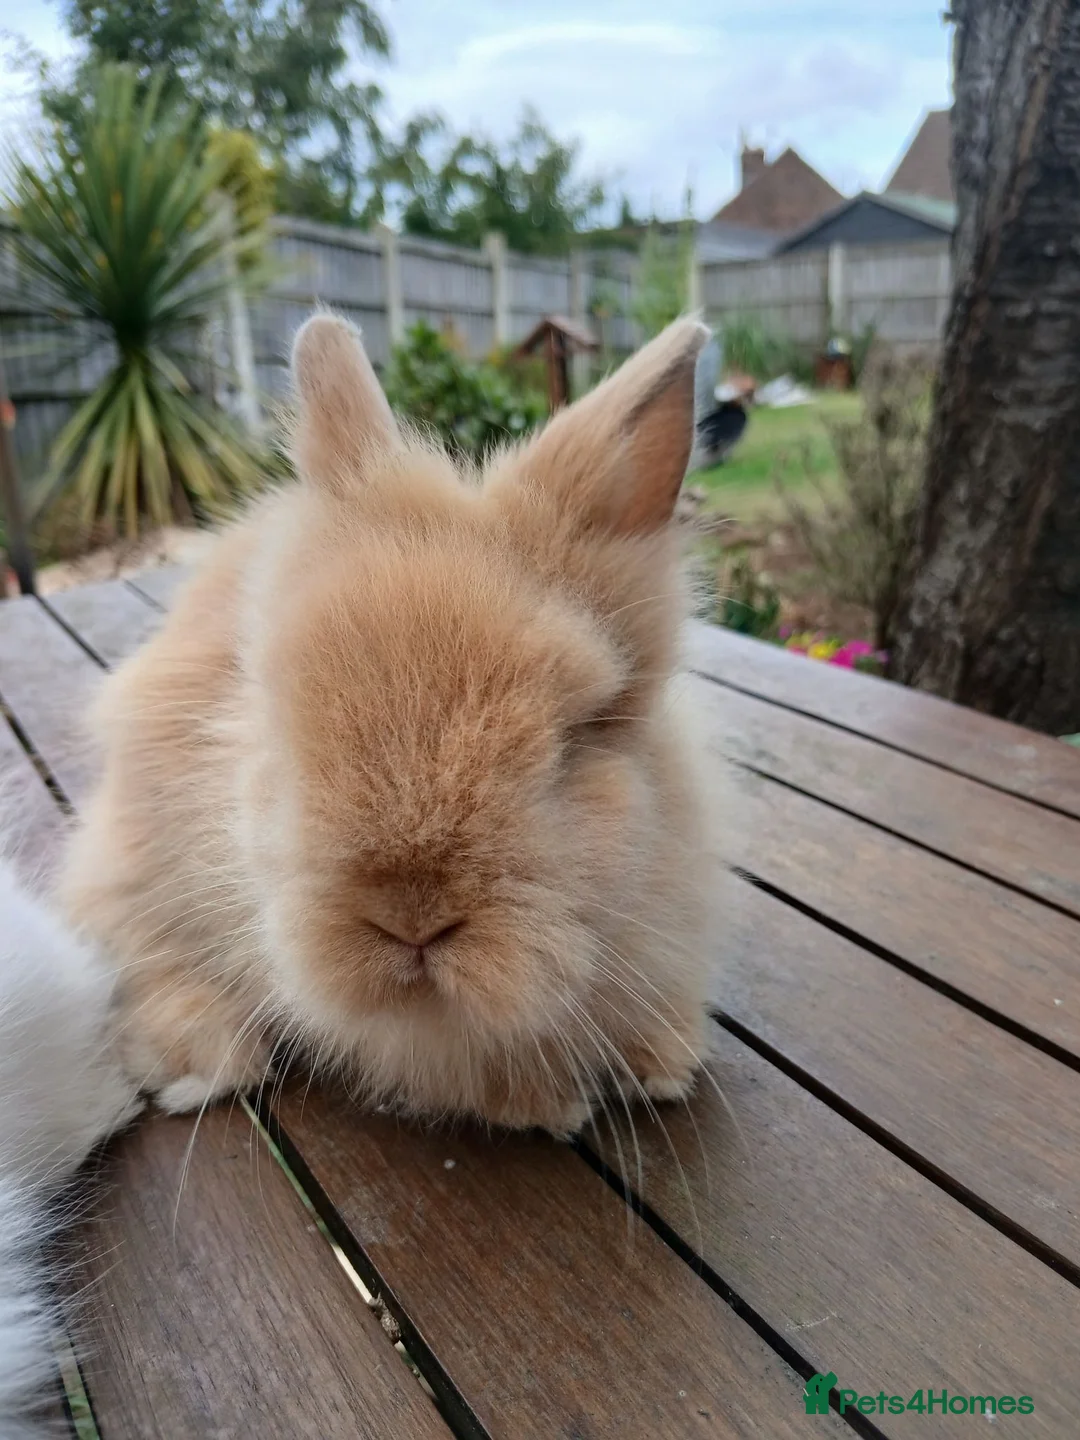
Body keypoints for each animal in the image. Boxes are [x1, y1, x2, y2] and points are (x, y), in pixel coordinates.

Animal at [58, 314, 721, 1137]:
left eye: (578, 736)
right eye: (282, 715)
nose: (412, 920)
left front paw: (660, 1065)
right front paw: (548, 1102)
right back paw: (203, 1062)